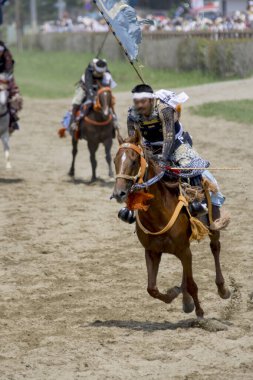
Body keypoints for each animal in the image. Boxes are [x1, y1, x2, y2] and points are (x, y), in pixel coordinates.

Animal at [111, 131, 230, 318]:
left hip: (212, 225)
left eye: (134, 160)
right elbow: (152, 289)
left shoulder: (184, 250)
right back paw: (186, 300)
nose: (119, 193)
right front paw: (174, 293)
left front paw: (200, 312)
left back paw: (222, 289)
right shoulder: (152, 251)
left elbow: (192, 284)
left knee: (215, 247)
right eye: (115, 161)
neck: (158, 214)